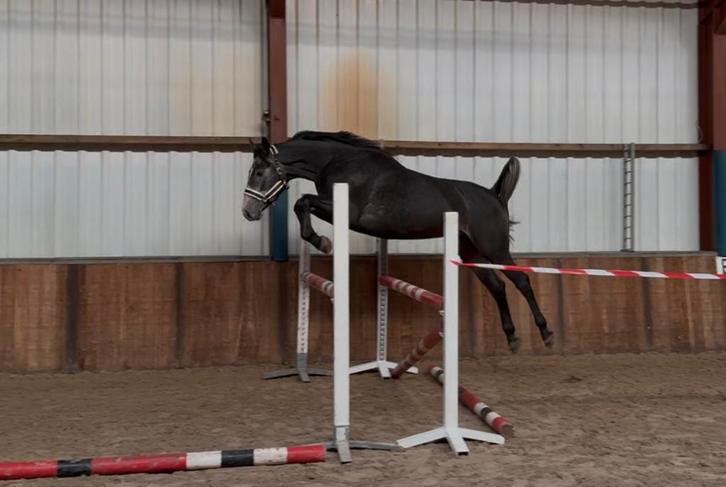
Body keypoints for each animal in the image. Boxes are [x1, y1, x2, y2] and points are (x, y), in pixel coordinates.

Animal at [242, 131, 553, 353]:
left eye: (258, 172)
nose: (248, 211)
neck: (338, 163)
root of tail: (494, 195)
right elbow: (302, 203)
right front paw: (321, 240)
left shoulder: (348, 212)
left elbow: (303, 201)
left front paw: (322, 242)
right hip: (471, 253)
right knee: (497, 287)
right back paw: (512, 338)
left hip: (495, 248)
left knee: (522, 281)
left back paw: (546, 334)